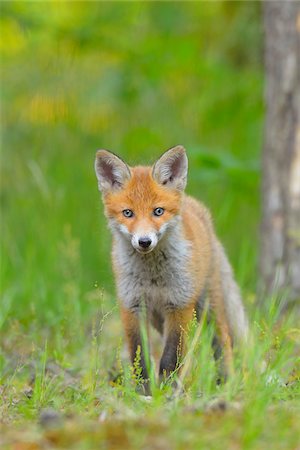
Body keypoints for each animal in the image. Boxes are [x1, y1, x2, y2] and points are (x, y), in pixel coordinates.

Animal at [95, 145, 248, 390]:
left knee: (222, 339)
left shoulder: (178, 305)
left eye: (158, 211)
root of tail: (195, 205)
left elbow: (171, 356)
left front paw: (167, 390)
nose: (144, 241)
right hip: (158, 319)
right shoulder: (133, 306)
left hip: (208, 304)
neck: (153, 276)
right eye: (128, 213)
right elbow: (140, 356)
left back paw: (225, 381)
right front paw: (143, 391)